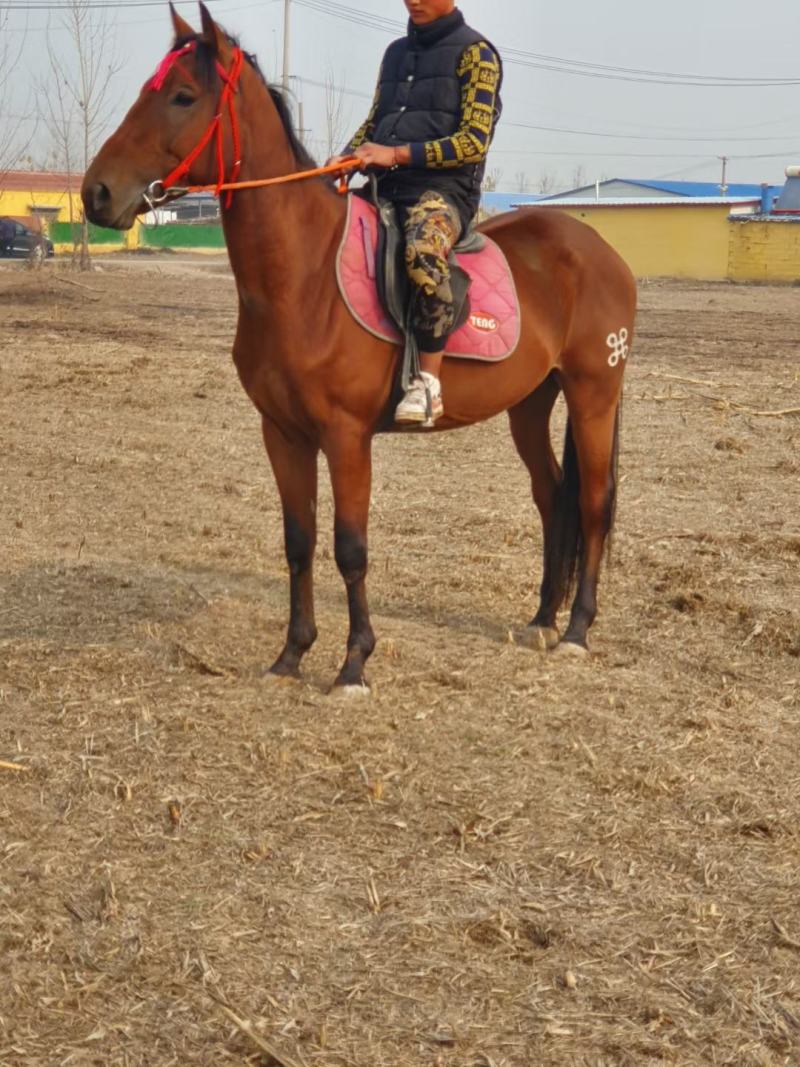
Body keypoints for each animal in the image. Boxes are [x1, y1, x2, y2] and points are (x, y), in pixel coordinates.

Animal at [82, 3, 636, 691]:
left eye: (183, 96)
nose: (96, 192)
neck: (306, 274)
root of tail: (599, 251)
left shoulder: (345, 437)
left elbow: (350, 546)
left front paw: (353, 664)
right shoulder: (283, 433)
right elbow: (298, 541)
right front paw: (291, 655)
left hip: (593, 395)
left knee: (592, 501)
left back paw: (578, 630)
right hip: (531, 404)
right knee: (551, 497)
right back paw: (541, 620)